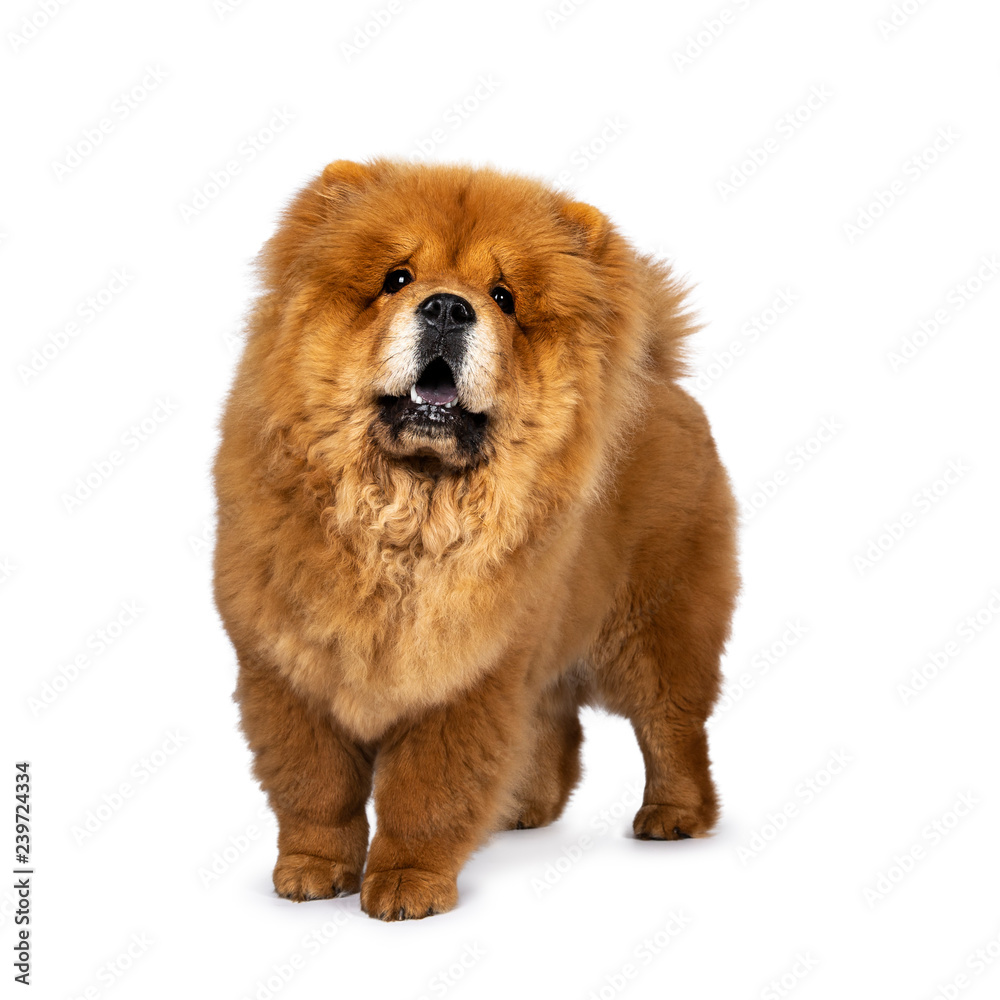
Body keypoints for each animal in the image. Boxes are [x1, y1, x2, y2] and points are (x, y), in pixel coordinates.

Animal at [215, 158, 740, 920]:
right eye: (397, 278)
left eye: (503, 297)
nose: (446, 308)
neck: (404, 518)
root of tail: (659, 378)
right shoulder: (288, 671)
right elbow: (316, 788)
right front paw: (311, 874)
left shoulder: (468, 681)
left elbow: (426, 794)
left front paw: (407, 886)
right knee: (557, 728)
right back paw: (524, 809)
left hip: (655, 630)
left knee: (672, 726)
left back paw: (673, 818)